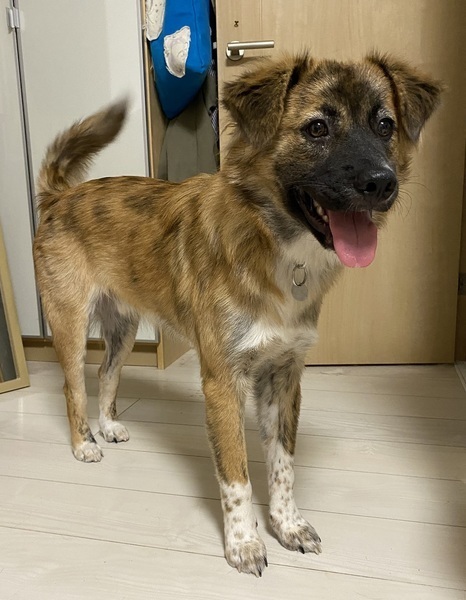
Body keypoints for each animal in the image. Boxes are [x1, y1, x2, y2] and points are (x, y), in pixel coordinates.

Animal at [33, 52, 441, 576]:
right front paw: (244, 543)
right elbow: (236, 476)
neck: (277, 243)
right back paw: (84, 443)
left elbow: (283, 465)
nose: (382, 183)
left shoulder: (284, 375)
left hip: (123, 326)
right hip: (68, 321)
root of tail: (61, 196)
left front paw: (288, 526)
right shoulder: (222, 381)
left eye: (385, 125)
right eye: (317, 128)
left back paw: (108, 427)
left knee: (106, 374)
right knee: (73, 386)